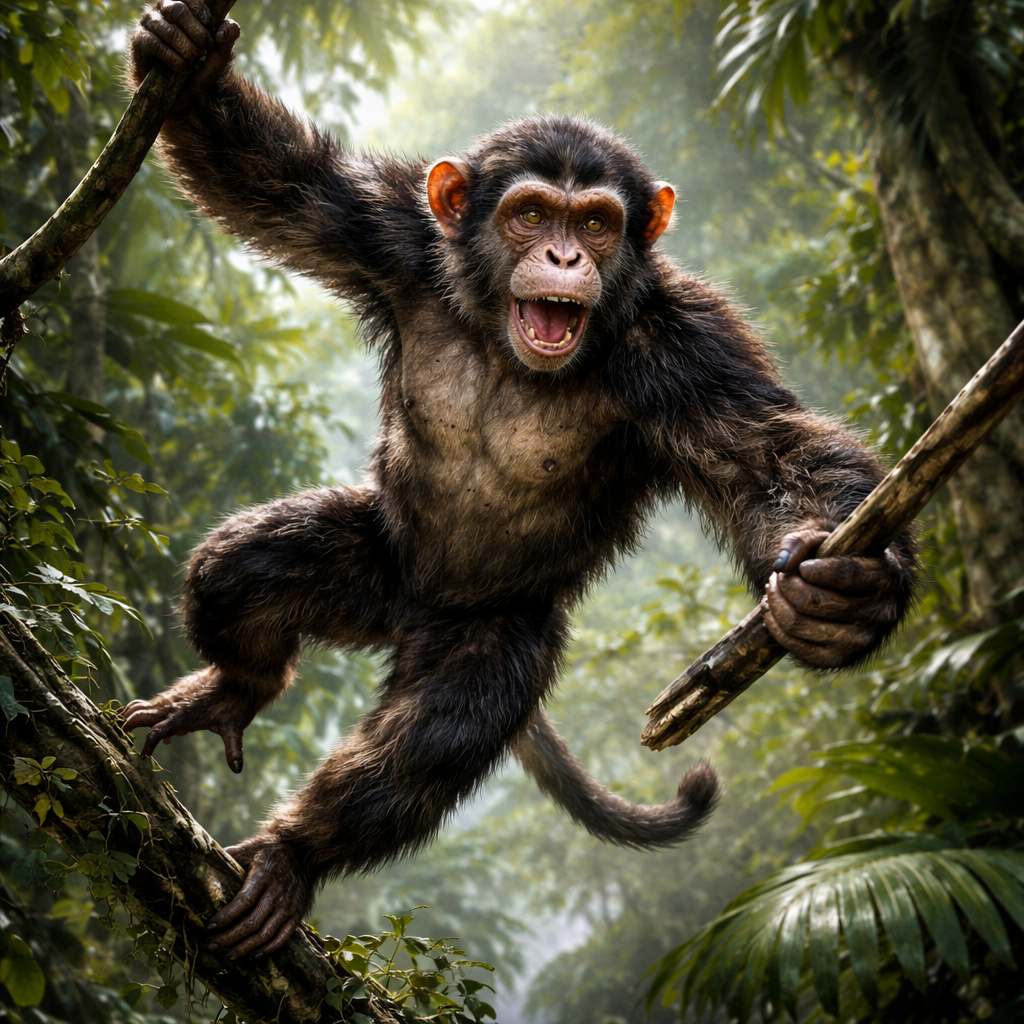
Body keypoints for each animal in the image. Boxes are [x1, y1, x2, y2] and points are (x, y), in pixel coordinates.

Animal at [121, 0, 917, 961]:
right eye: (532, 213)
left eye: (598, 224)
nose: (567, 259)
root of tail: (404, 617)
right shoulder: (389, 235)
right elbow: (279, 186)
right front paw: (186, 61)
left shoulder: (689, 347)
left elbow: (770, 453)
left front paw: (845, 596)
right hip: (373, 561)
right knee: (242, 571)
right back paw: (236, 687)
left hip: (497, 633)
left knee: (430, 741)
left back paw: (294, 852)